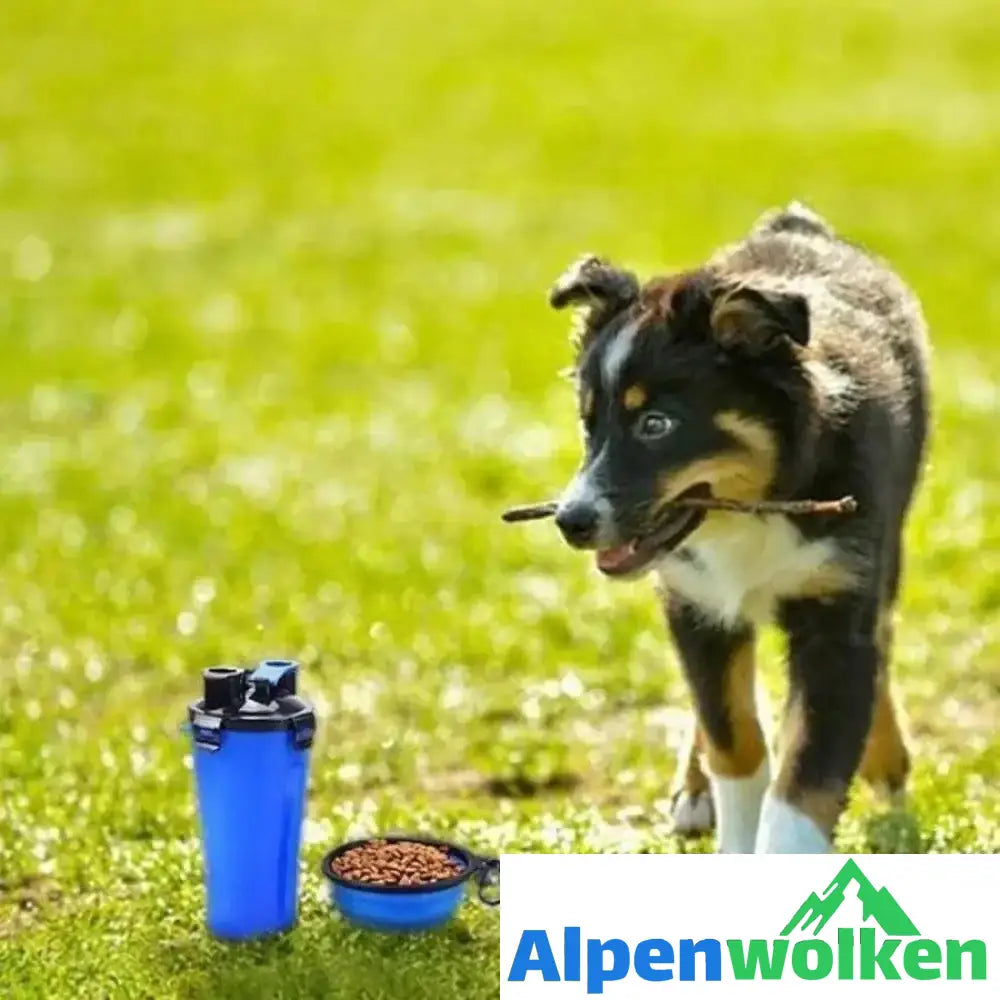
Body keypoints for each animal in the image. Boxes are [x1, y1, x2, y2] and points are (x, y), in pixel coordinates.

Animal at [548, 205, 928, 852]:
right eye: (588, 424)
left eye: (656, 424)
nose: (571, 522)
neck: (758, 509)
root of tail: (795, 224)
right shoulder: (698, 605)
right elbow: (734, 739)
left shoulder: (837, 609)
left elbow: (807, 774)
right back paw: (694, 789)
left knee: (881, 640)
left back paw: (888, 766)